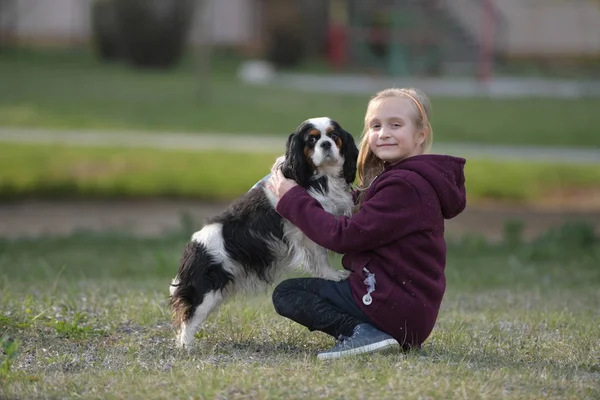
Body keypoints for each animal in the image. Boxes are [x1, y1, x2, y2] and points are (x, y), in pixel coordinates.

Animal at [166, 117, 358, 348]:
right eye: (311, 140)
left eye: (334, 136)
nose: (326, 144)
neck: (321, 177)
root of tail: (192, 247)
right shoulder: (307, 231)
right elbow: (320, 257)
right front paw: (333, 276)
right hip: (205, 291)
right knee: (189, 317)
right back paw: (186, 347)